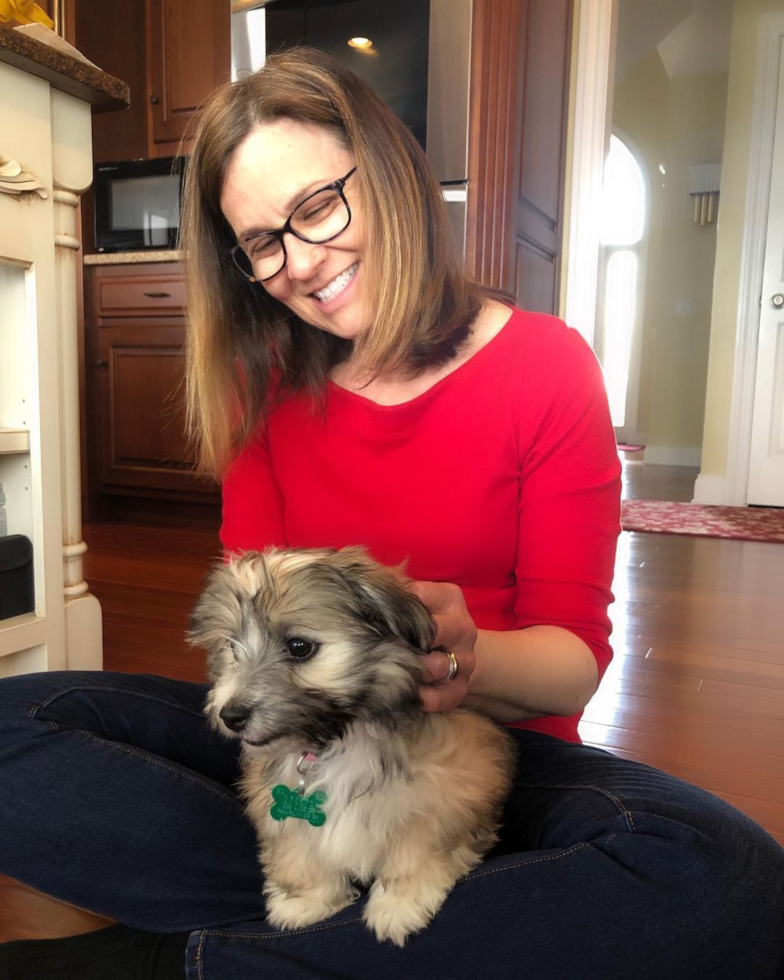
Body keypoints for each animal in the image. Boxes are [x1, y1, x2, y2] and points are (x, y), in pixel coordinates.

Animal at [190, 548, 516, 944]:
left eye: (299, 647)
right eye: (231, 646)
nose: (231, 715)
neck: (341, 739)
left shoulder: (451, 787)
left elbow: (419, 844)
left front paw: (398, 904)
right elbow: (298, 845)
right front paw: (306, 900)